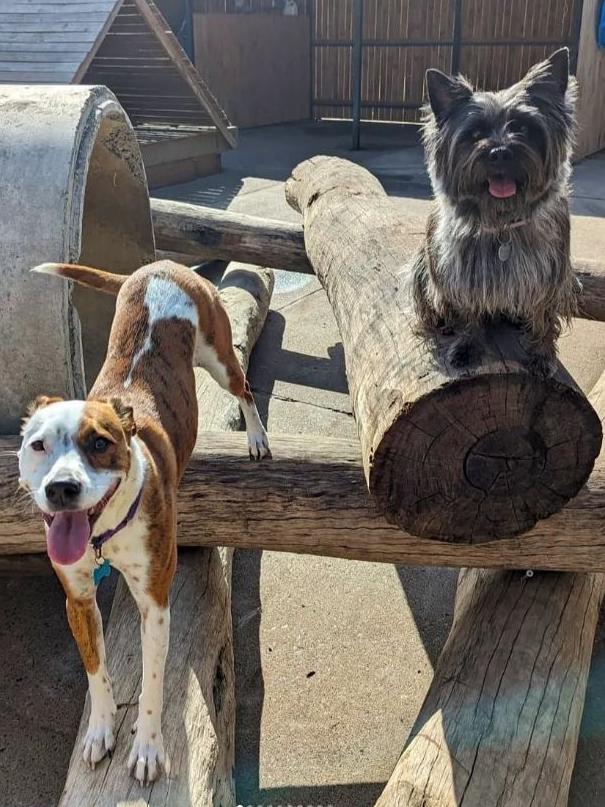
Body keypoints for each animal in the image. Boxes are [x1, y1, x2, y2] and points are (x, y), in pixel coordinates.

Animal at [18, 262, 270, 784]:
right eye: (38, 445)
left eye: (100, 443)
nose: (61, 489)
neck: (104, 536)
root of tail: (160, 266)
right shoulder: (77, 599)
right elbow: (96, 671)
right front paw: (99, 730)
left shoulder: (155, 602)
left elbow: (153, 683)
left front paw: (149, 748)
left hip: (219, 356)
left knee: (244, 388)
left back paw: (257, 437)